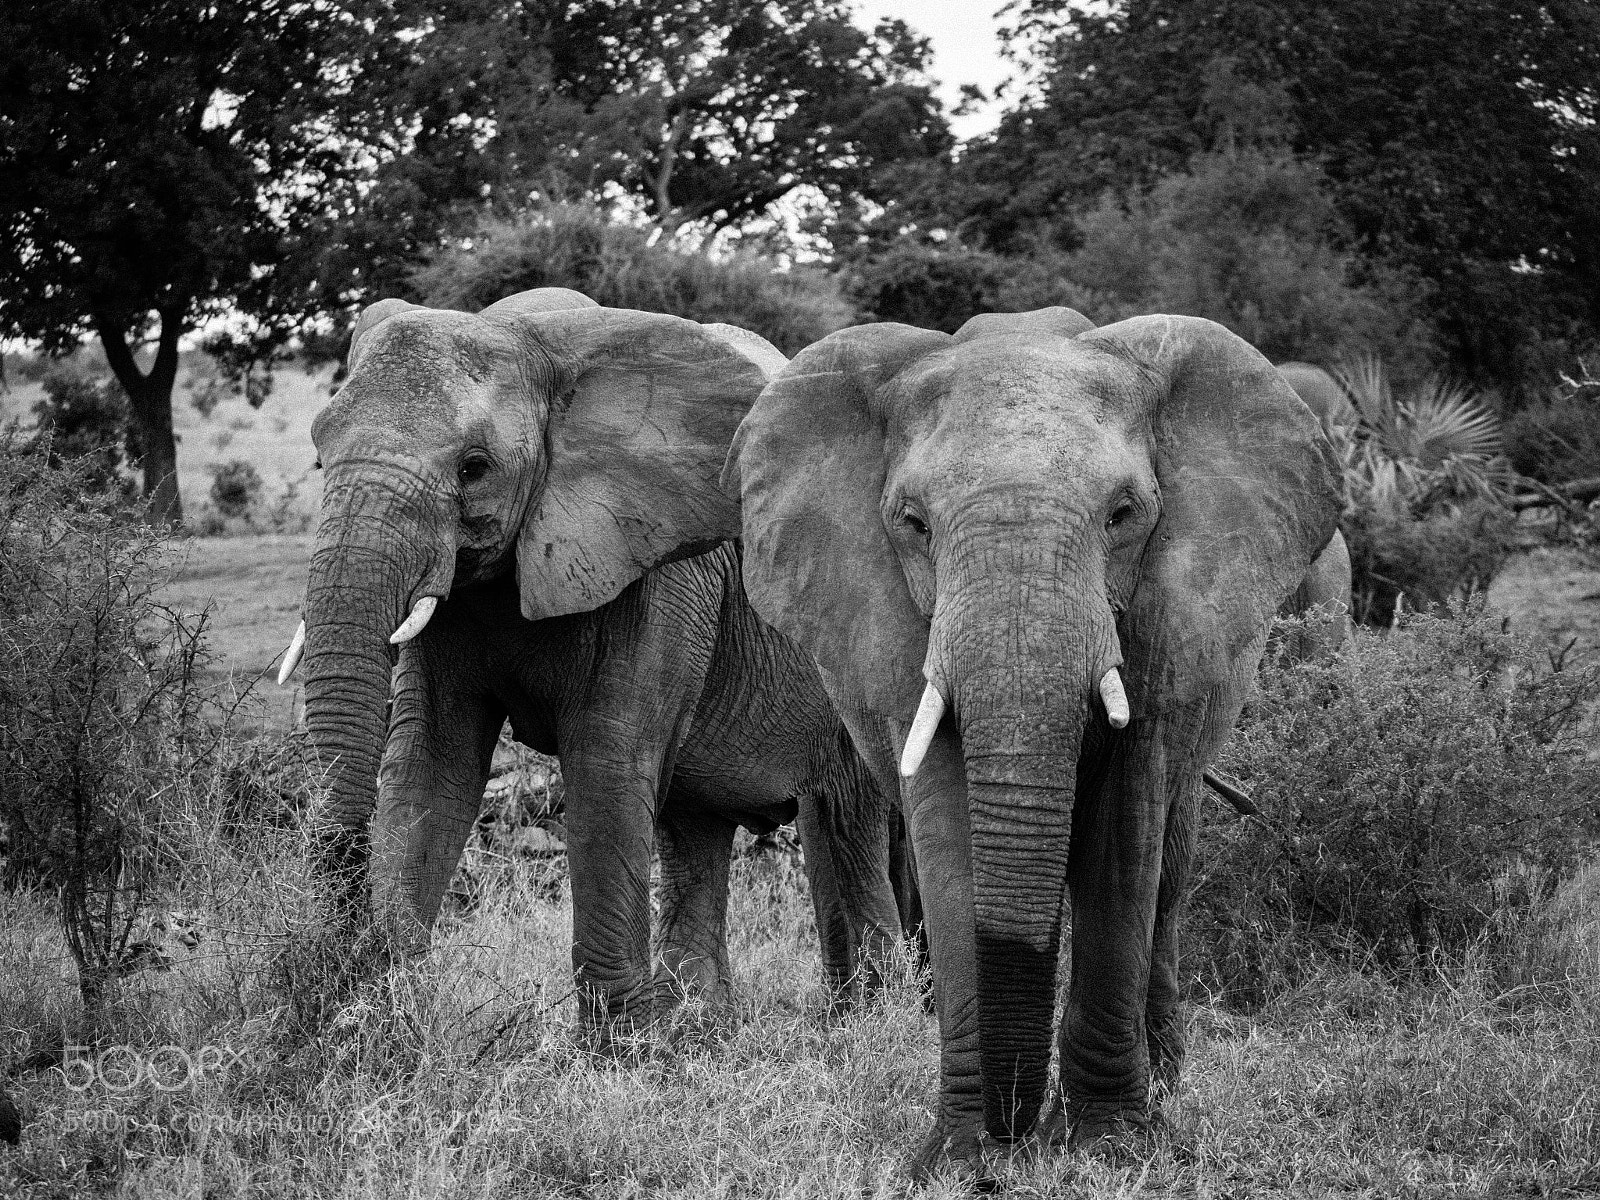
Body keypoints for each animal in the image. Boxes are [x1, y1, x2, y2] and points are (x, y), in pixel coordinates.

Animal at [282, 286, 902, 1026]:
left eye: (473, 466)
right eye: (319, 453)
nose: (341, 940)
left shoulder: (657, 562)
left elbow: (608, 761)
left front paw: (618, 1045)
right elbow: (433, 760)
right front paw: (382, 1011)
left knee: (845, 819)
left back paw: (872, 1016)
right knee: (698, 825)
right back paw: (705, 1023)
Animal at [727, 307, 1343, 1180]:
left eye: (1124, 515)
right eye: (912, 523)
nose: (1015, 1140)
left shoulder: (1165, 614)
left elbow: (1125, 826)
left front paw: (1113, 1147)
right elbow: (948, 828)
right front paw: (960, 1157)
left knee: (1168, 873)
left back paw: (1162, 1093)